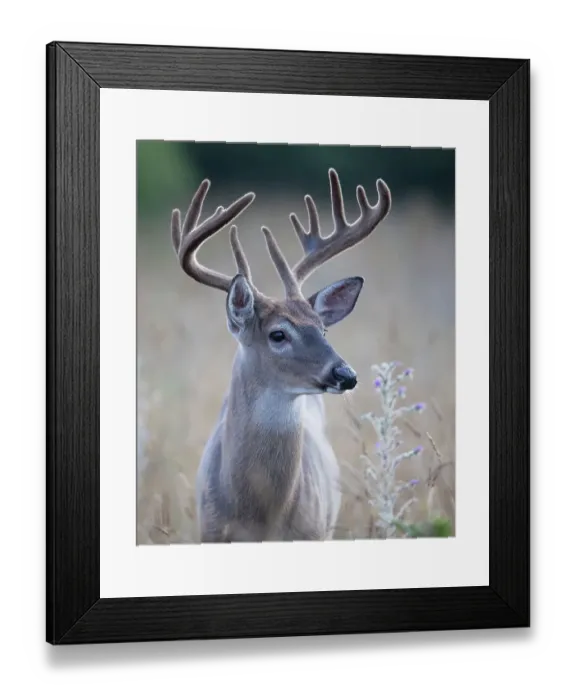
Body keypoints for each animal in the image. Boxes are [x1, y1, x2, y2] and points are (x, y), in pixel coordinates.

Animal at [170, 168, 391, 542]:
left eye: (323, 329)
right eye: (278, 334)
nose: (345, 374)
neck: (261, 517)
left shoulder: (313, 533)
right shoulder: (210, 532)